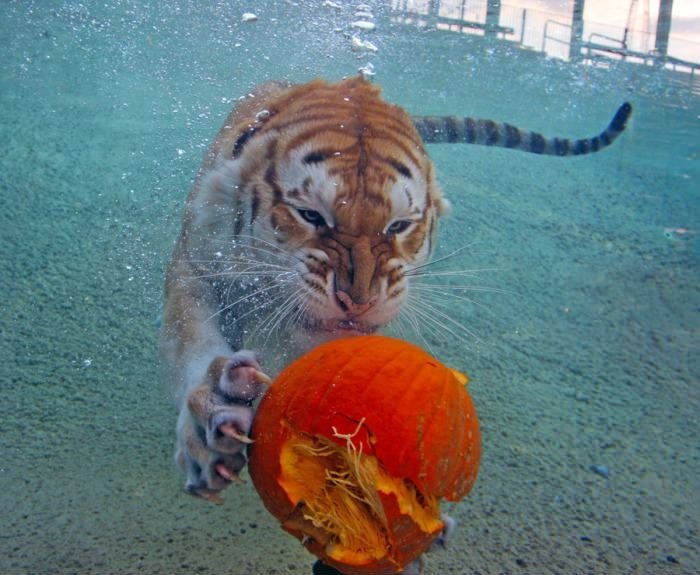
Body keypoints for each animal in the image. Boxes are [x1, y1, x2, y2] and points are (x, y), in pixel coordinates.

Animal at [161, 76, 632, 572]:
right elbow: (191, 343)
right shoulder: (195, 267)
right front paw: (209, 427)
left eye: (399, 226)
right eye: (311, 215)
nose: (358, 299)